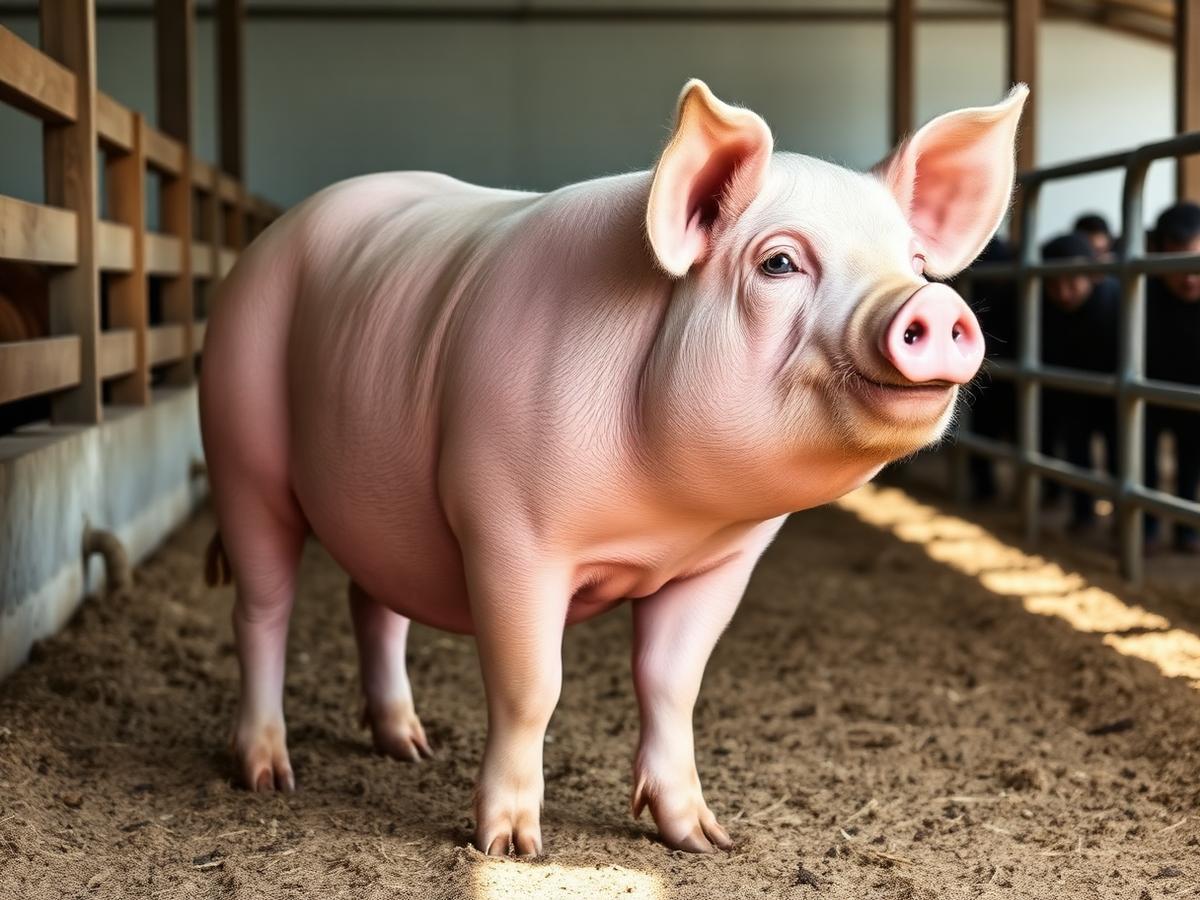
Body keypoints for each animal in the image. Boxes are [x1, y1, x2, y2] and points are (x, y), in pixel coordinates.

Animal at [199, 79, 1026, 856]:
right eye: (779, 263)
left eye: (914, 262)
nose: (932, 304)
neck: (664, 521)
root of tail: (264, 246)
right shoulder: (508, 531)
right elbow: (532, 686)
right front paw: (509, 846)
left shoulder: (724, 560)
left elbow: (672, 681)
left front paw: (703, 839)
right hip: (241, 453)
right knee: (262, 608)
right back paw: (267, 776)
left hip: (377, 502)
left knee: (372, 605)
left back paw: (408, 747)